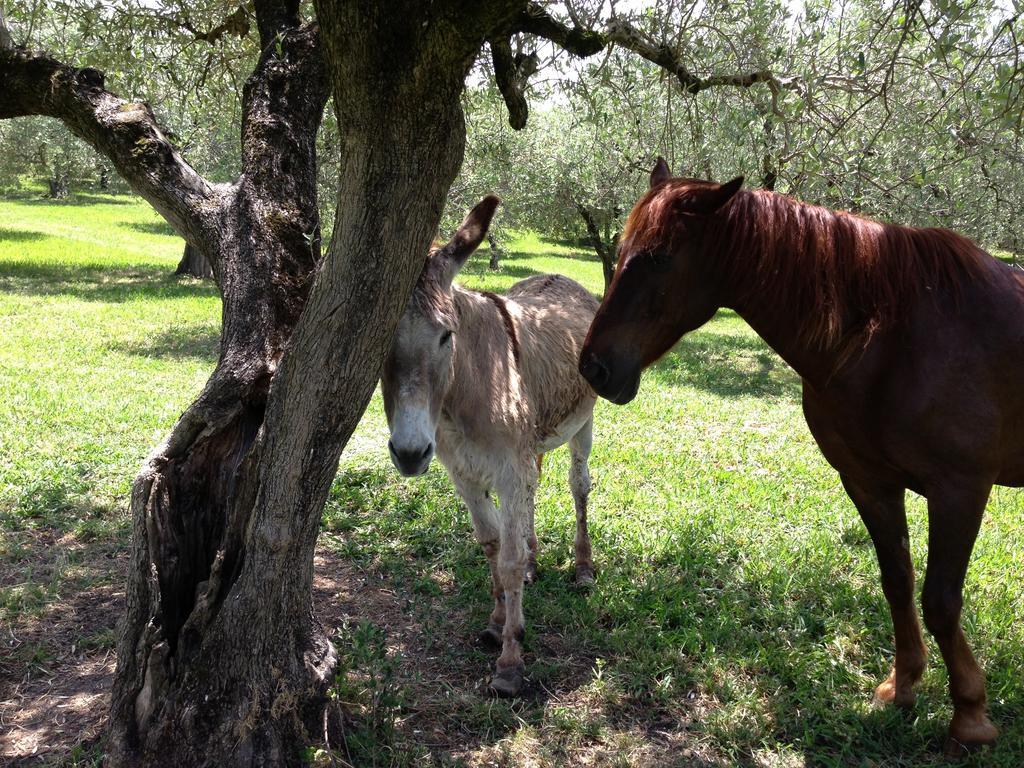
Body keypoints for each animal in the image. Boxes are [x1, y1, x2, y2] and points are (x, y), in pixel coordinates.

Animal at [581, 157, 1019, 757]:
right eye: (622, 250)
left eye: (660, 257)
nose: (593, 367)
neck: (891, 333)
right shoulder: (869, 482)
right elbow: (897, 581)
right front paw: (902, 687)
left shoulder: (960, 489)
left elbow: (941, 600)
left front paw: (970, 716)